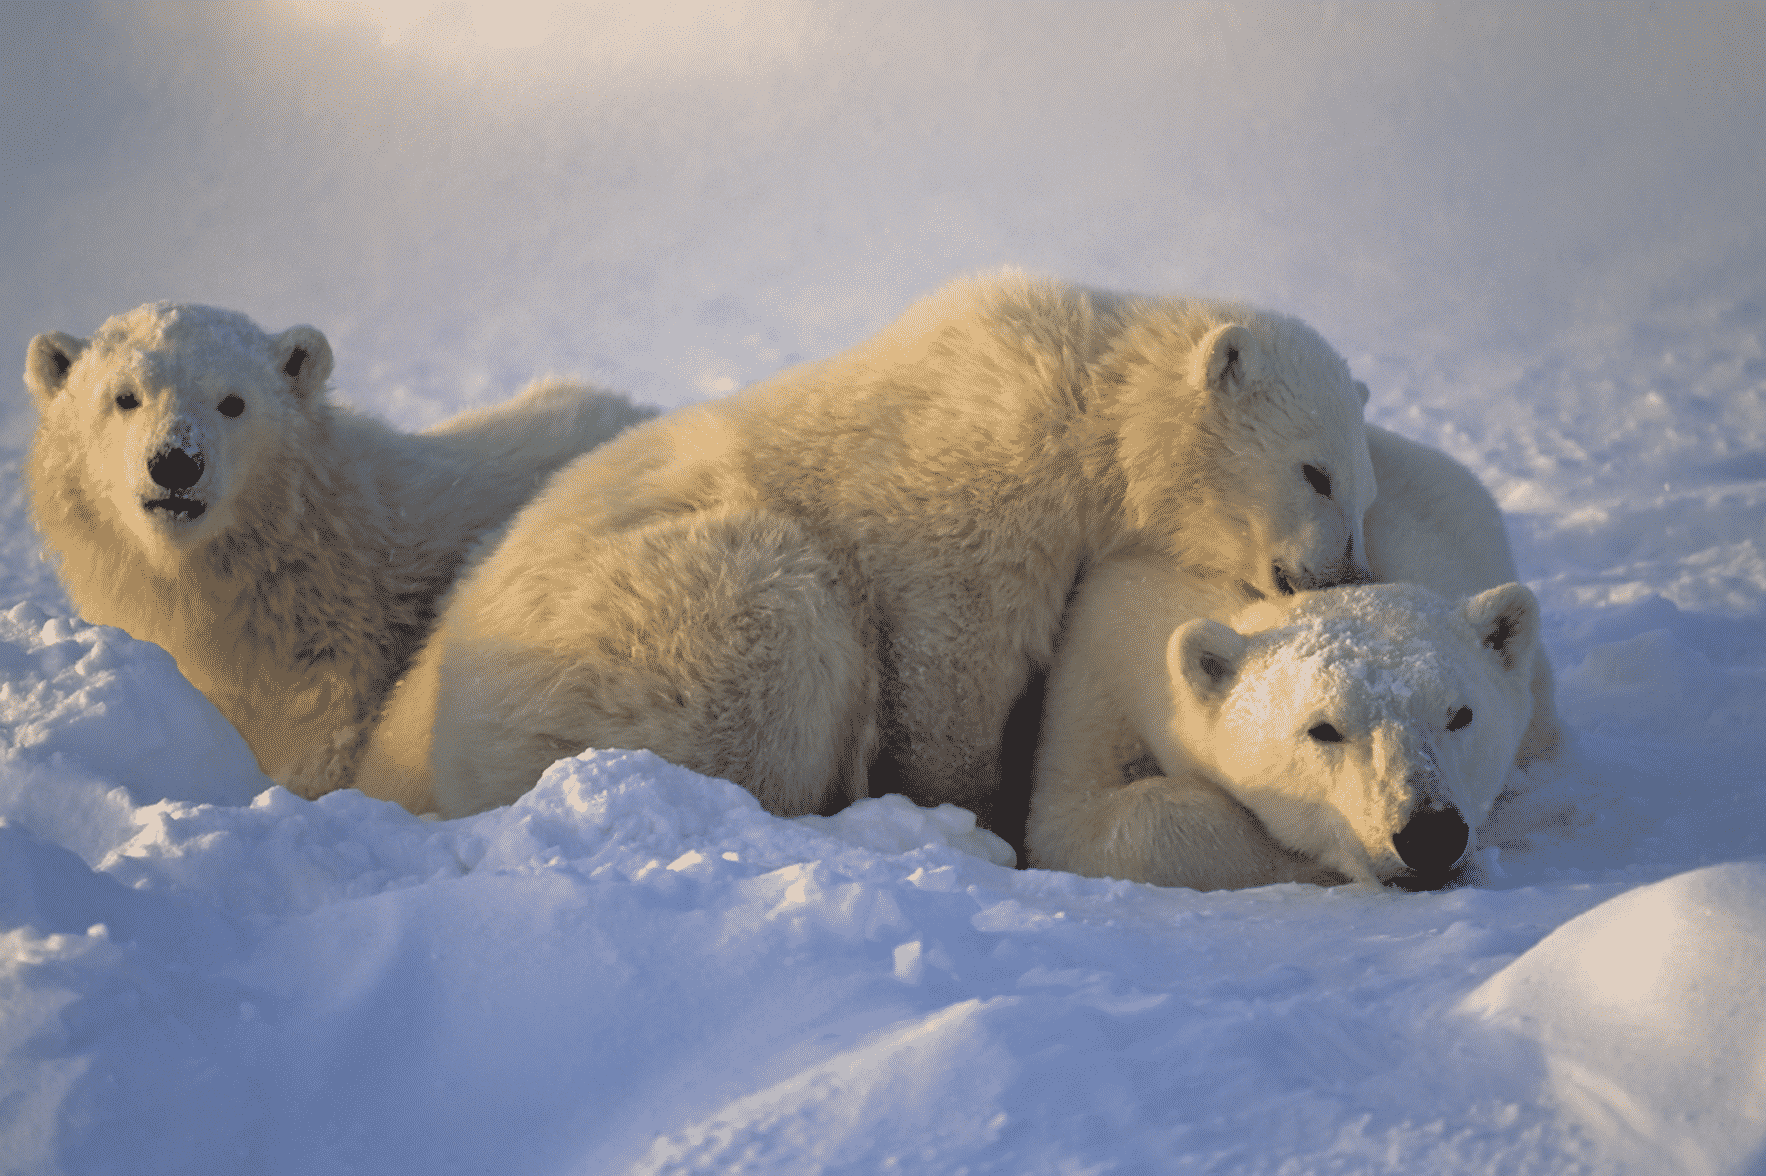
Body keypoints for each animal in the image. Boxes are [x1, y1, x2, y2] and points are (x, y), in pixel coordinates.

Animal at [355, 269, 1377, 822]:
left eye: (1361, 491)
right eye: (1316, 472)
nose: (1346, 568)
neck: (1082, 407)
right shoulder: (968, 499)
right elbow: (948, 669)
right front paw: (968, 811)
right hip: (636, 630)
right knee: (774, 625)